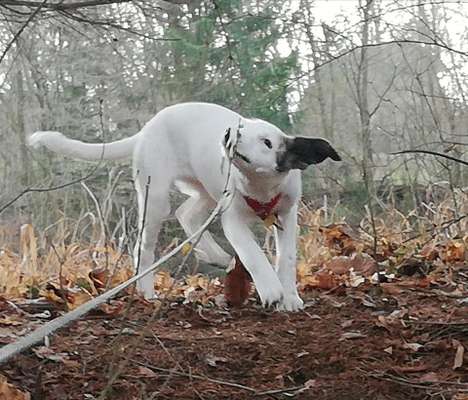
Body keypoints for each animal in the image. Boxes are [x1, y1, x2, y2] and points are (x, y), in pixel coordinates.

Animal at [29, 101, 340, 310]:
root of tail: (148, 127)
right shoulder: (233, 219)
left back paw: (215, 255)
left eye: (266, 142)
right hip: (155, 197)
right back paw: (147, 290)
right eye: (241, 128)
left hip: (207, 190)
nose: (230, 133)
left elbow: (286, 258)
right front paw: (271, 290)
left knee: (186, 214)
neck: (259, 187)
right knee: (145, 246)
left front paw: (290, 298)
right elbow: (252, 254)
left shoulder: (286, 215)